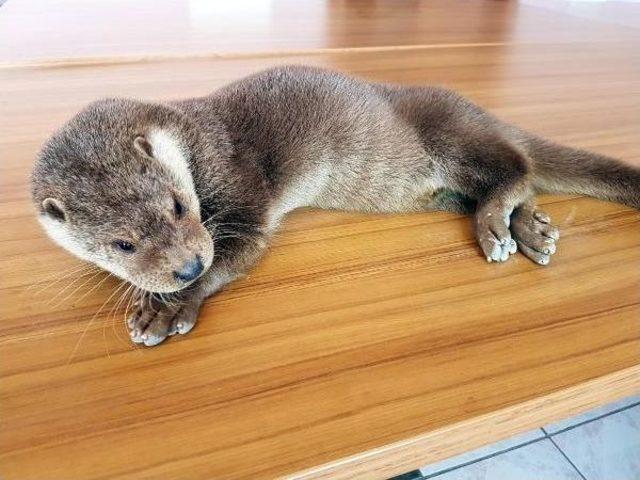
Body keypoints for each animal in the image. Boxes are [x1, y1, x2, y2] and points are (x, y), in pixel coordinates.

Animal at [31, 66, 640, 344]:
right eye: (122, 244)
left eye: (179, 205)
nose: (186, 266)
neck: (197, 140)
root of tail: (479, 112)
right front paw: (162, 292)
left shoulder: (241, 191)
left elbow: (234, 252)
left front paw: (169, 307)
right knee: (520, 179)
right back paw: (531, 229)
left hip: (451, 130)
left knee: (517, 166)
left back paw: (497, 227)